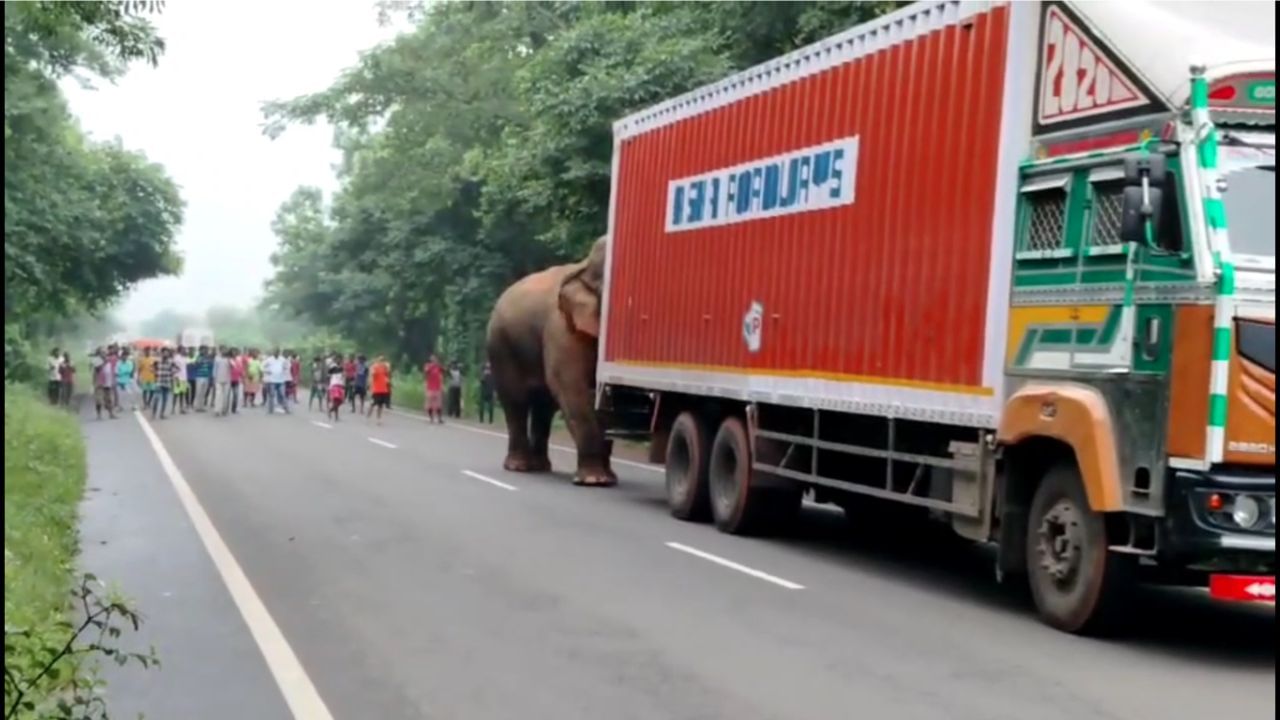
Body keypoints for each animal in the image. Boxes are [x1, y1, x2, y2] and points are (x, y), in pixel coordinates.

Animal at [483, 238, 614, 484]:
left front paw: (609, 477)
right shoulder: (560, 328)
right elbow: (570, 385)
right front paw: (594, 479)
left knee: (544, 406)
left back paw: (540, 466)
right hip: (501, 345)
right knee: (516, 401)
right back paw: (519, 466)